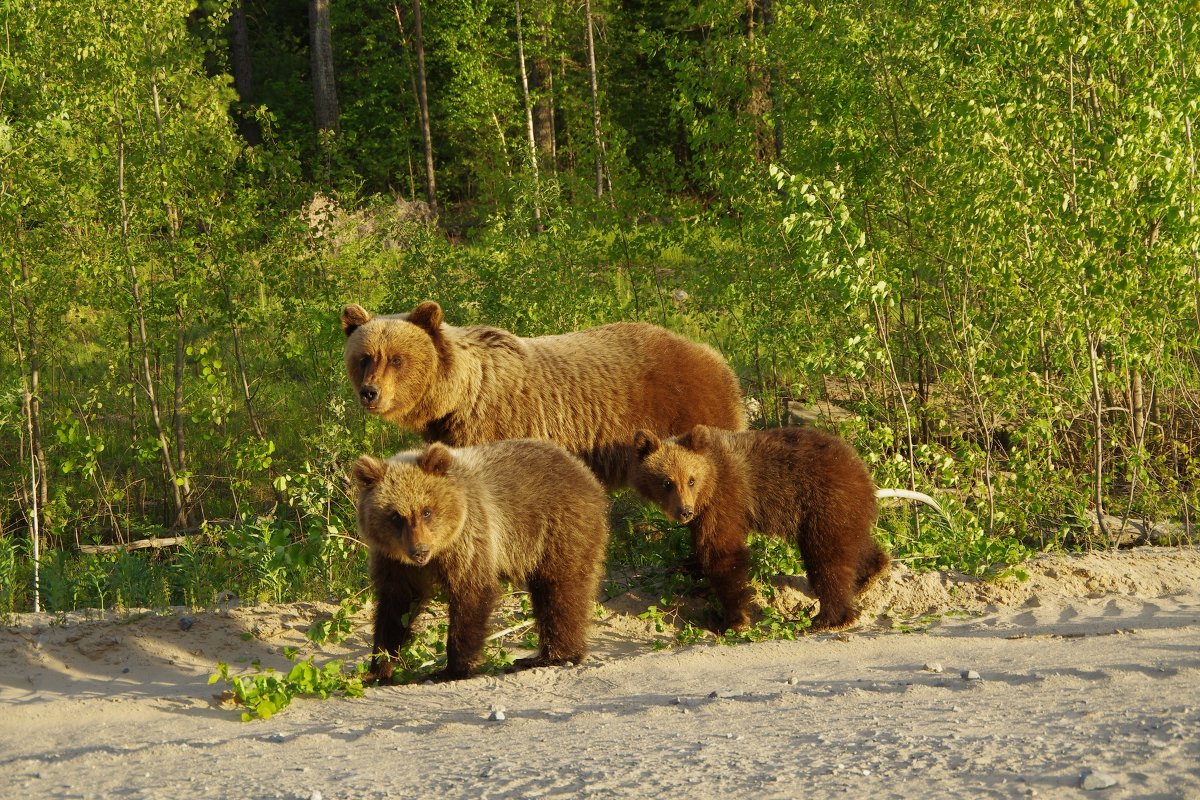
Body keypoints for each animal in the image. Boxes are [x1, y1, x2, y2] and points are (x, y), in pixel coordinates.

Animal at [350, 438, 609, 681]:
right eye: (396, 516)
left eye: (426, 511)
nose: (419, 551)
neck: (438, 552)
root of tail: (583, 471)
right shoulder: (394, 562)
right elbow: (395, 606)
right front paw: (378, 669)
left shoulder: (469, 538)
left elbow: (471, 594)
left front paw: (453, 668)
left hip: (558, 529)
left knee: (561, 590)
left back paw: (553, 656)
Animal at [633, 422, 888, 633]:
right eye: (667, 482)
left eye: (691, 480)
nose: (685, 511)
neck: (710, 481)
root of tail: (859, 464)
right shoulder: (703, 513)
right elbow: (702, 546)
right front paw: (683, 568)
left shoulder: (726, 497)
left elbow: (723, 551)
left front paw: (732, 619)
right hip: (845, 508)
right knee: (854, 543)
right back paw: (871, 574)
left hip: (825, 500)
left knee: (826, 555)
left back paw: (829, 618)